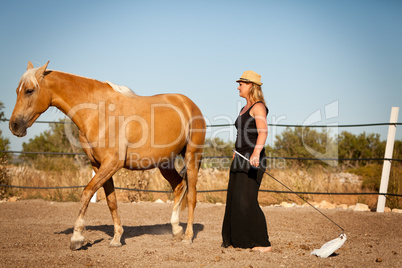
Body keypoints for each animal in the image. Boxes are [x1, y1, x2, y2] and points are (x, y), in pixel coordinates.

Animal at [9, 61, 206, 250]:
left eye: (29, 90)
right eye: (17, 90)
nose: (14, 126)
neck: (98, 112)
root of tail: (188, 104)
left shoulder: (111, 164)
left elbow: (87, 193)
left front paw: (77, 238)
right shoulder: (98, 165)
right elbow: (111, 201)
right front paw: (117, 238)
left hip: (192, 157)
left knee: (192, 197)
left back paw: (188, 237)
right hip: (164, 163)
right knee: (179, 186)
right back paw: (176, 229)